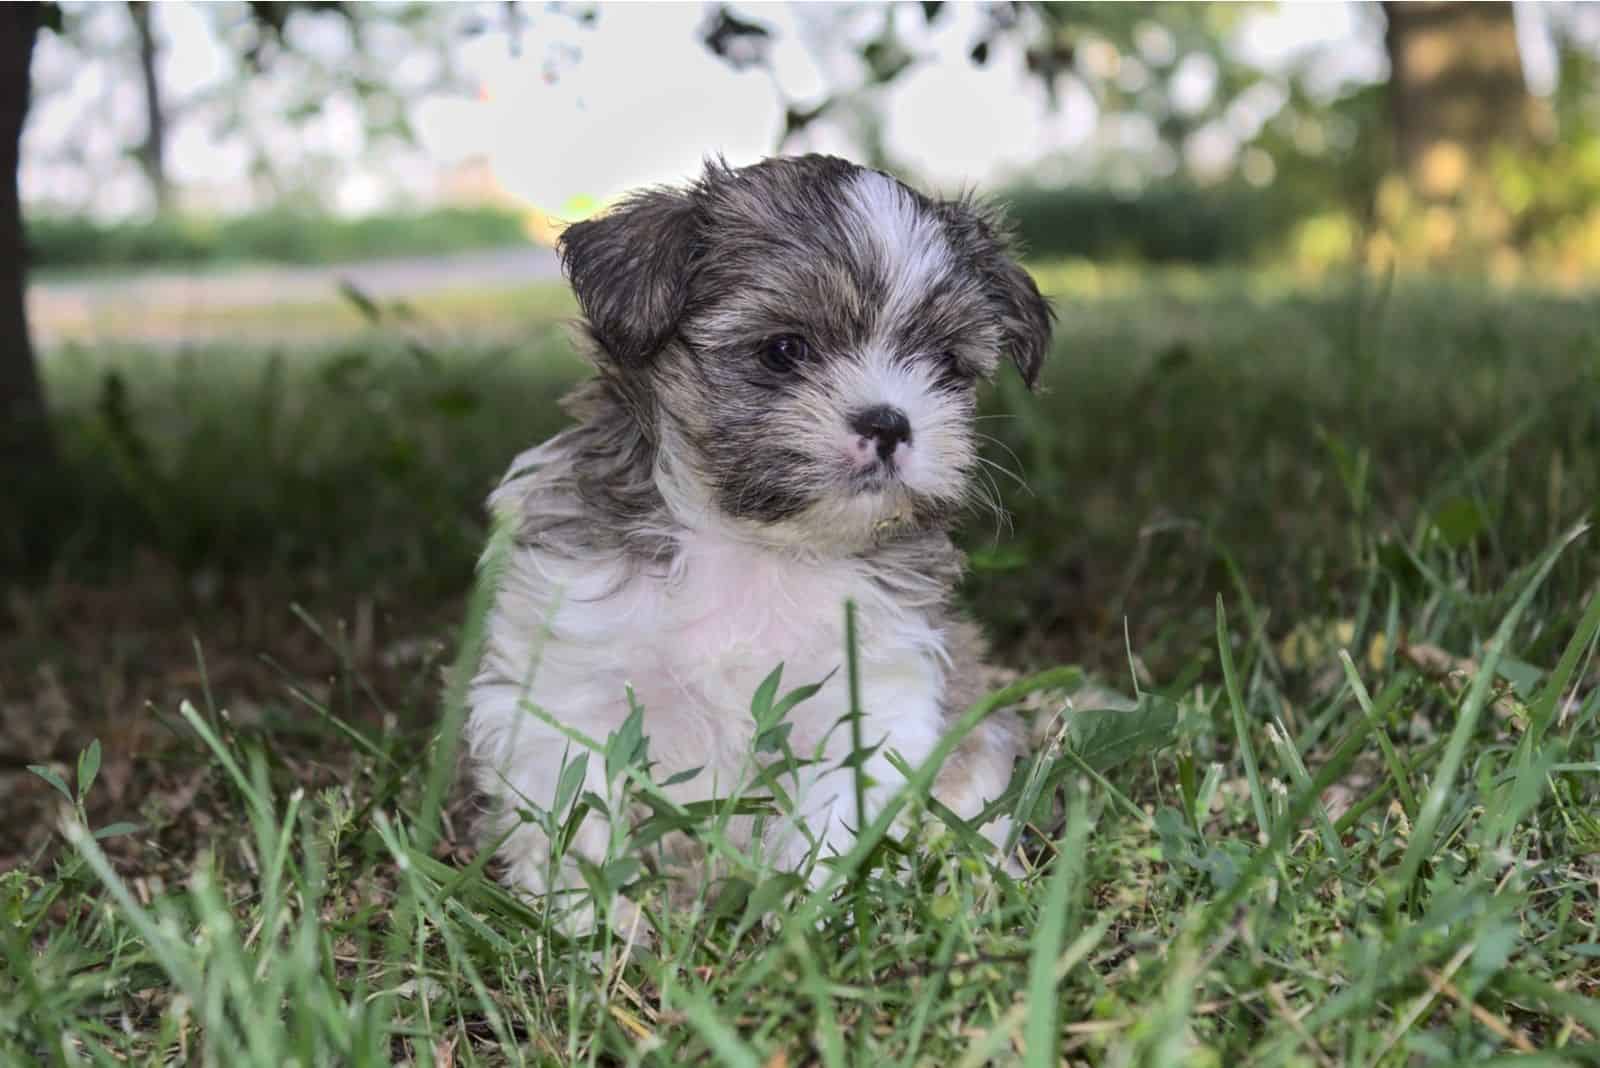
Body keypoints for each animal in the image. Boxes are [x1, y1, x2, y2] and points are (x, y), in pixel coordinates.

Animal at [464, 151, 1056, 927]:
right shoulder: (570, 682)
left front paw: (809, 919)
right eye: (783, 350)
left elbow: (833, 819)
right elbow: (575, 809)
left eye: (946, 365)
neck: (755, 543)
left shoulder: (869, 697)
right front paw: (592, 923)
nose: (890, 422)